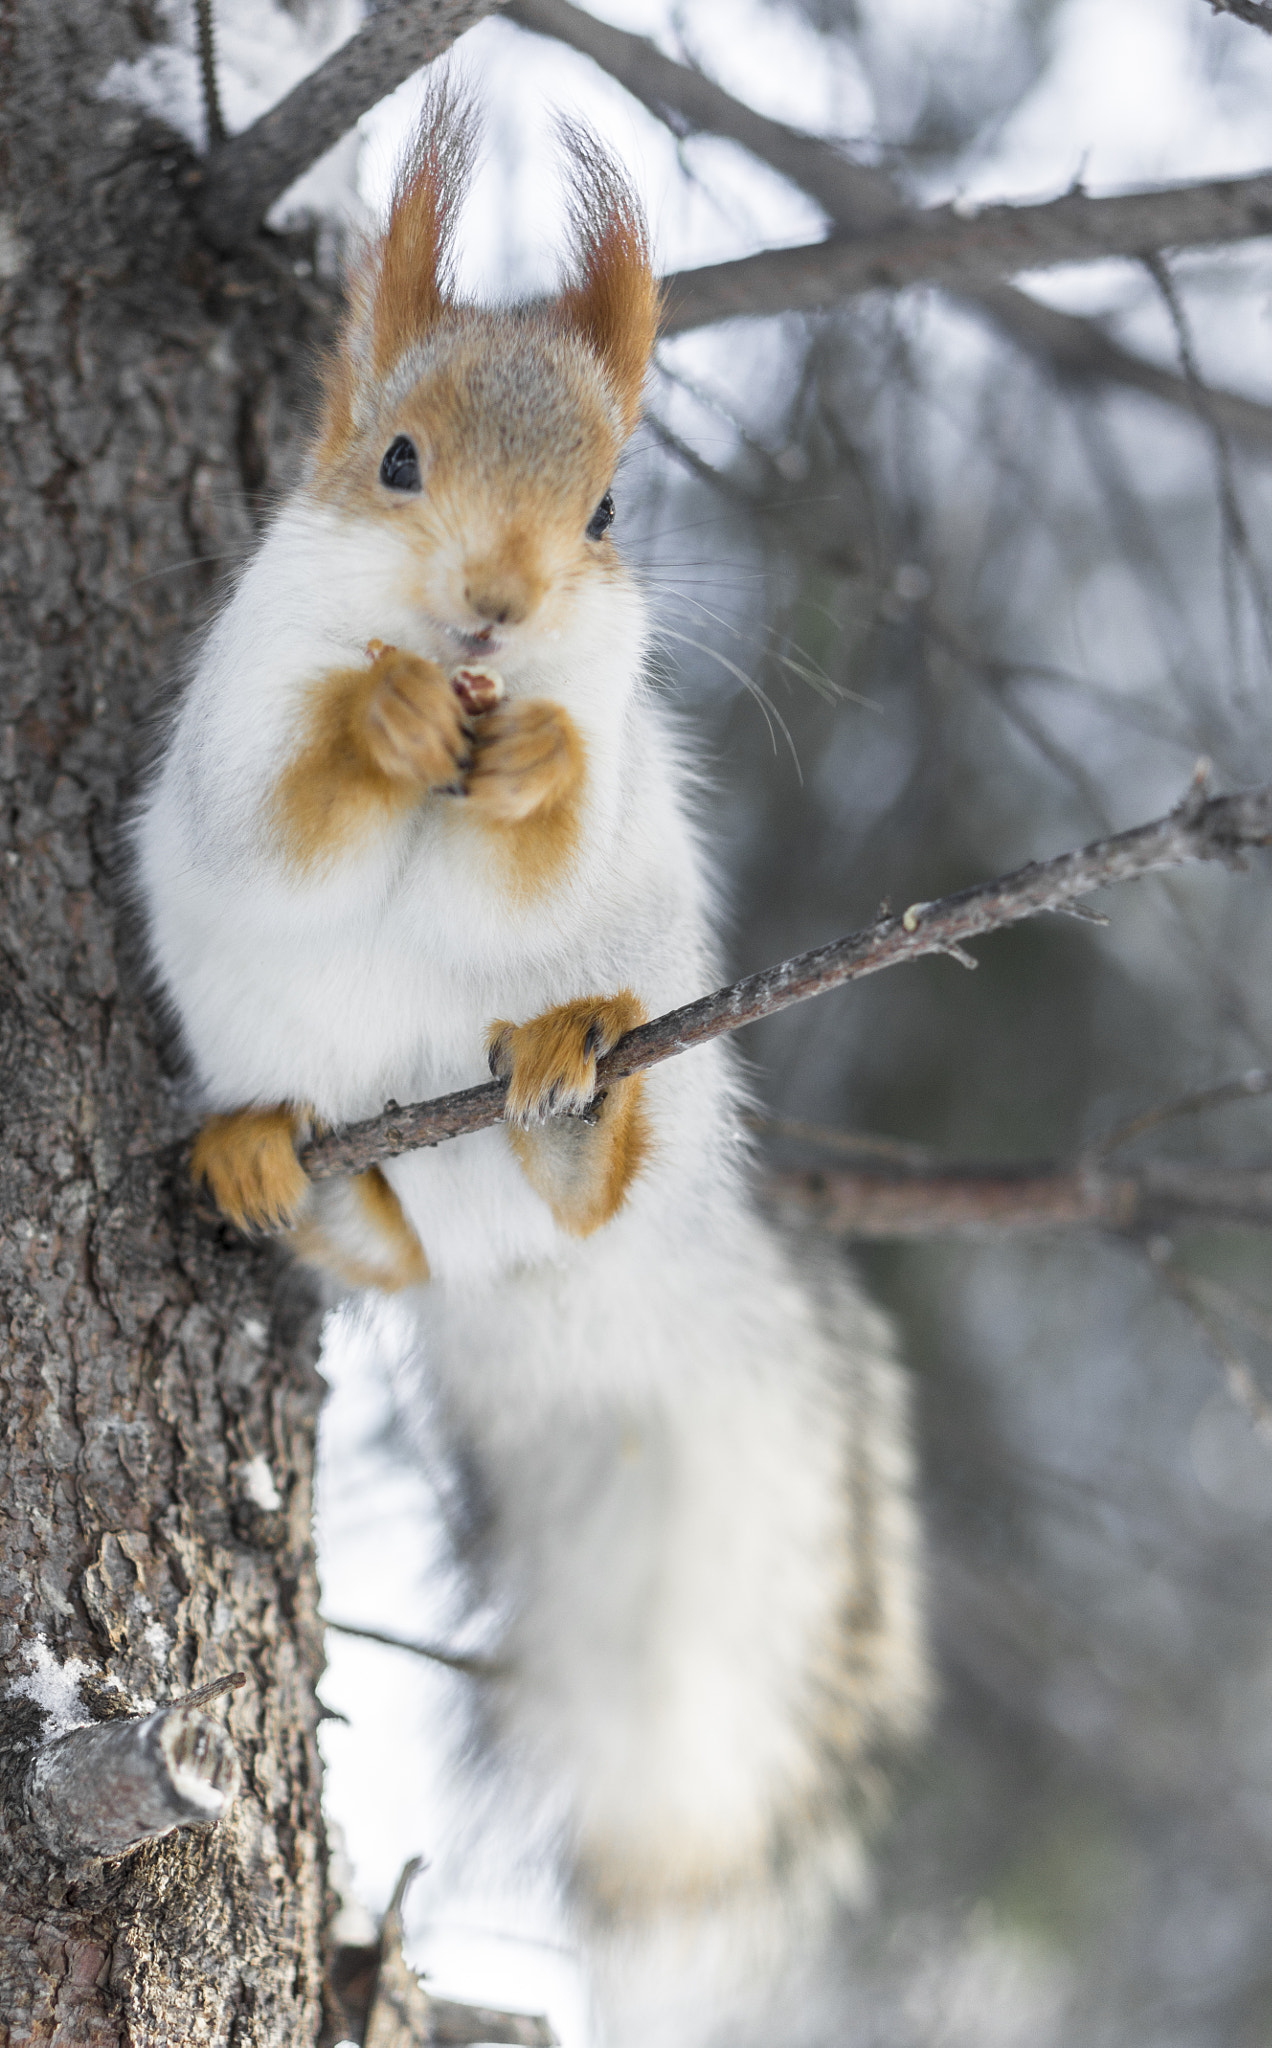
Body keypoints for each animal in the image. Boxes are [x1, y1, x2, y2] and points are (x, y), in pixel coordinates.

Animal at [136, 88, 934, 1990]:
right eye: (394, 462)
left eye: (611, 506)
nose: (494, 607)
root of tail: (552, 1301)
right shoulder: (237, 716)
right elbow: (284, 818)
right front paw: (382, 715)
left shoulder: (606, 756)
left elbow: (550, 830)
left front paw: (532, 758)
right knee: (393, 1251)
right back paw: (287, 1163)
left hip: (635, 1085)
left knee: (560, 1183)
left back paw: (565, 1106)